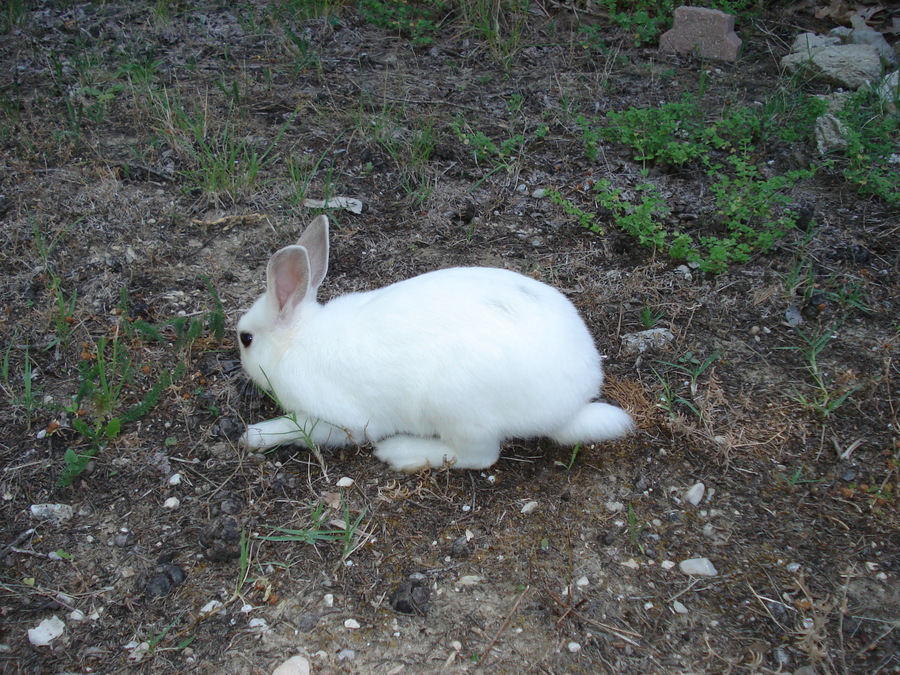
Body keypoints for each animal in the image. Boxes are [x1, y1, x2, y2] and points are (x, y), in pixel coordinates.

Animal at [239, 215, 632, 470]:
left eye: (246, 339)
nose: (240, 349)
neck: (296, 339)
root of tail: (572, 404)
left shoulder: (345, 422)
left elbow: (299, 426)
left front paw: (254, 436)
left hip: (456, 405)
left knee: (479, 456)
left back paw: (400, 453)